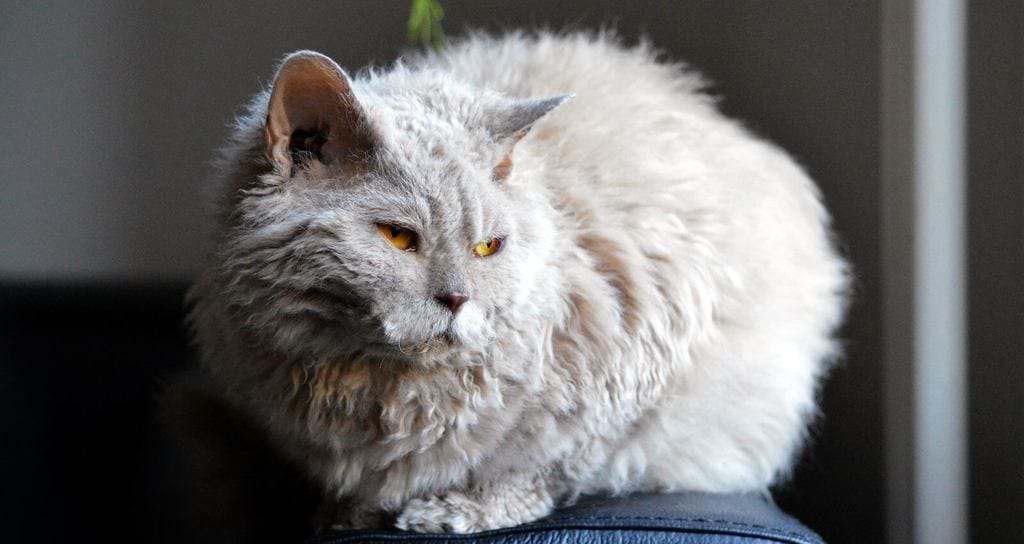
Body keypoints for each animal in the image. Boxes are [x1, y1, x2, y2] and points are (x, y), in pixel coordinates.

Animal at [184, 30, 847, 536]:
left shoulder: (642, 364)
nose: (457, 299)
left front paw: (450, 512)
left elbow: (539, 467)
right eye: (398, 237)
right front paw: (346, 514)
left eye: (488, 247)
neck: (369, 386)